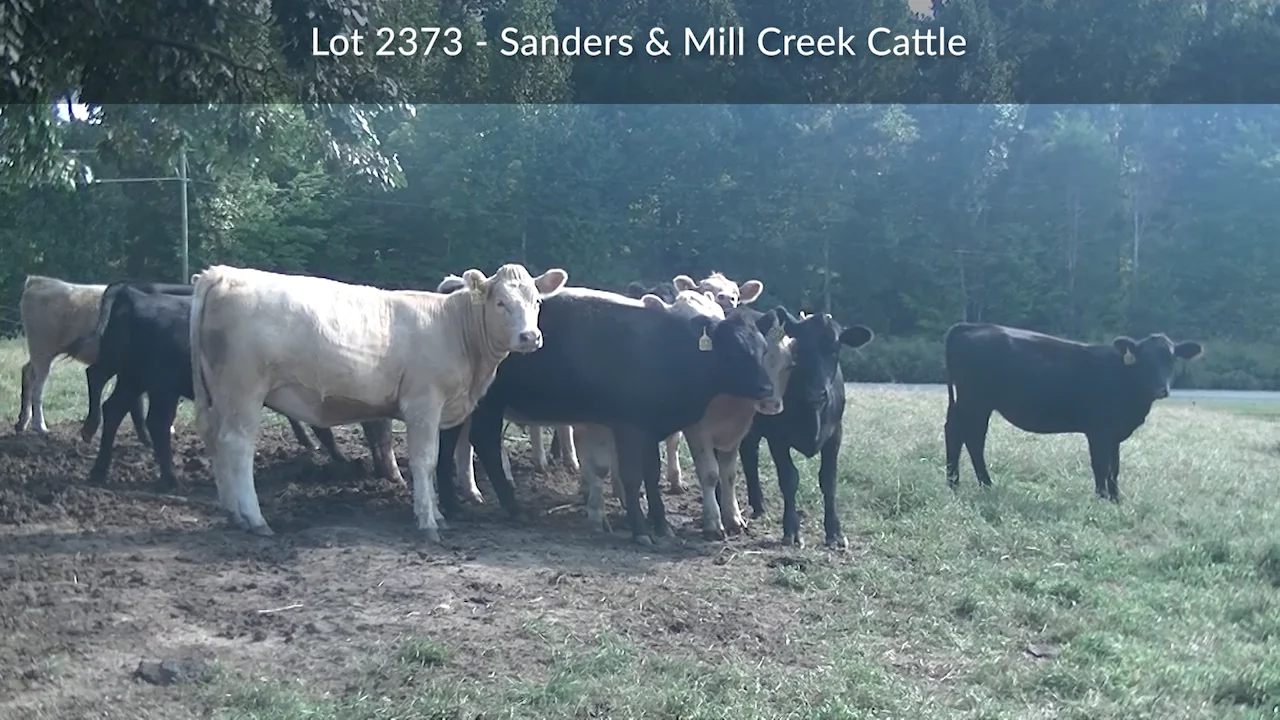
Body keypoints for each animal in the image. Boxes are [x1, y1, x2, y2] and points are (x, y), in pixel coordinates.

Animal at [82, 283, 395, 489]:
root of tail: (137, 297)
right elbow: (322, 430)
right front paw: (345, 461)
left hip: (137, 378)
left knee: (117, 409)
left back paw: (101, 471)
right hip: (156, 383)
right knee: (150, 419)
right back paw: (166, 478)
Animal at [189, 263, 568, 541]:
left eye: (536, 302)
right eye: (500, 302)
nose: (530, 336)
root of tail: (222, 273)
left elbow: (432, 462)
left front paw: (437, 513)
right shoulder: (423, 403)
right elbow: (425, 461)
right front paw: (429, 522)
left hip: (218, 394)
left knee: (215, 441)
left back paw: (233, 513)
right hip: (244, 390)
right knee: (237, 447)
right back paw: (255, 519)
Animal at [437, 286, 776, 546]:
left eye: (763, 348)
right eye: (733, 350)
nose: (767, 387)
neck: (665, 351)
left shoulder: (649, 427)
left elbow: (651, 473)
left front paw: (661, 524)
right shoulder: (628, 425)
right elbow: (632, 475)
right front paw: (641, 530)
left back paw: (452, 506)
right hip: (488, 403)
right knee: (484, 444)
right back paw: (509, 506)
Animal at [740, 309, 874, 548]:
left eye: (834, 349)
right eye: (800, 350)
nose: (816, 393)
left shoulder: (835, 434)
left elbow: (828, 480)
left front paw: (835, 532)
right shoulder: (777, 437)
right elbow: (789, 478)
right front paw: (792, 530)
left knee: (749, 455)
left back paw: (759, 506)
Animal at [942, 323, 1204, 502]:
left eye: (1171, 359)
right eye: (1145, 360)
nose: (1162, 389)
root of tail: (974, 326)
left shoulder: (1114, 434)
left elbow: (1115, 467)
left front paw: (1116, 499)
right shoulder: (1099, 431)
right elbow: (1101, 464)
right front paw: (1102, 497)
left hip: (976, 404)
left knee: (967, 436)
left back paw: (968, 483)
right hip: (975, 402)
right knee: (963, 435)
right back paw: (967, 484)